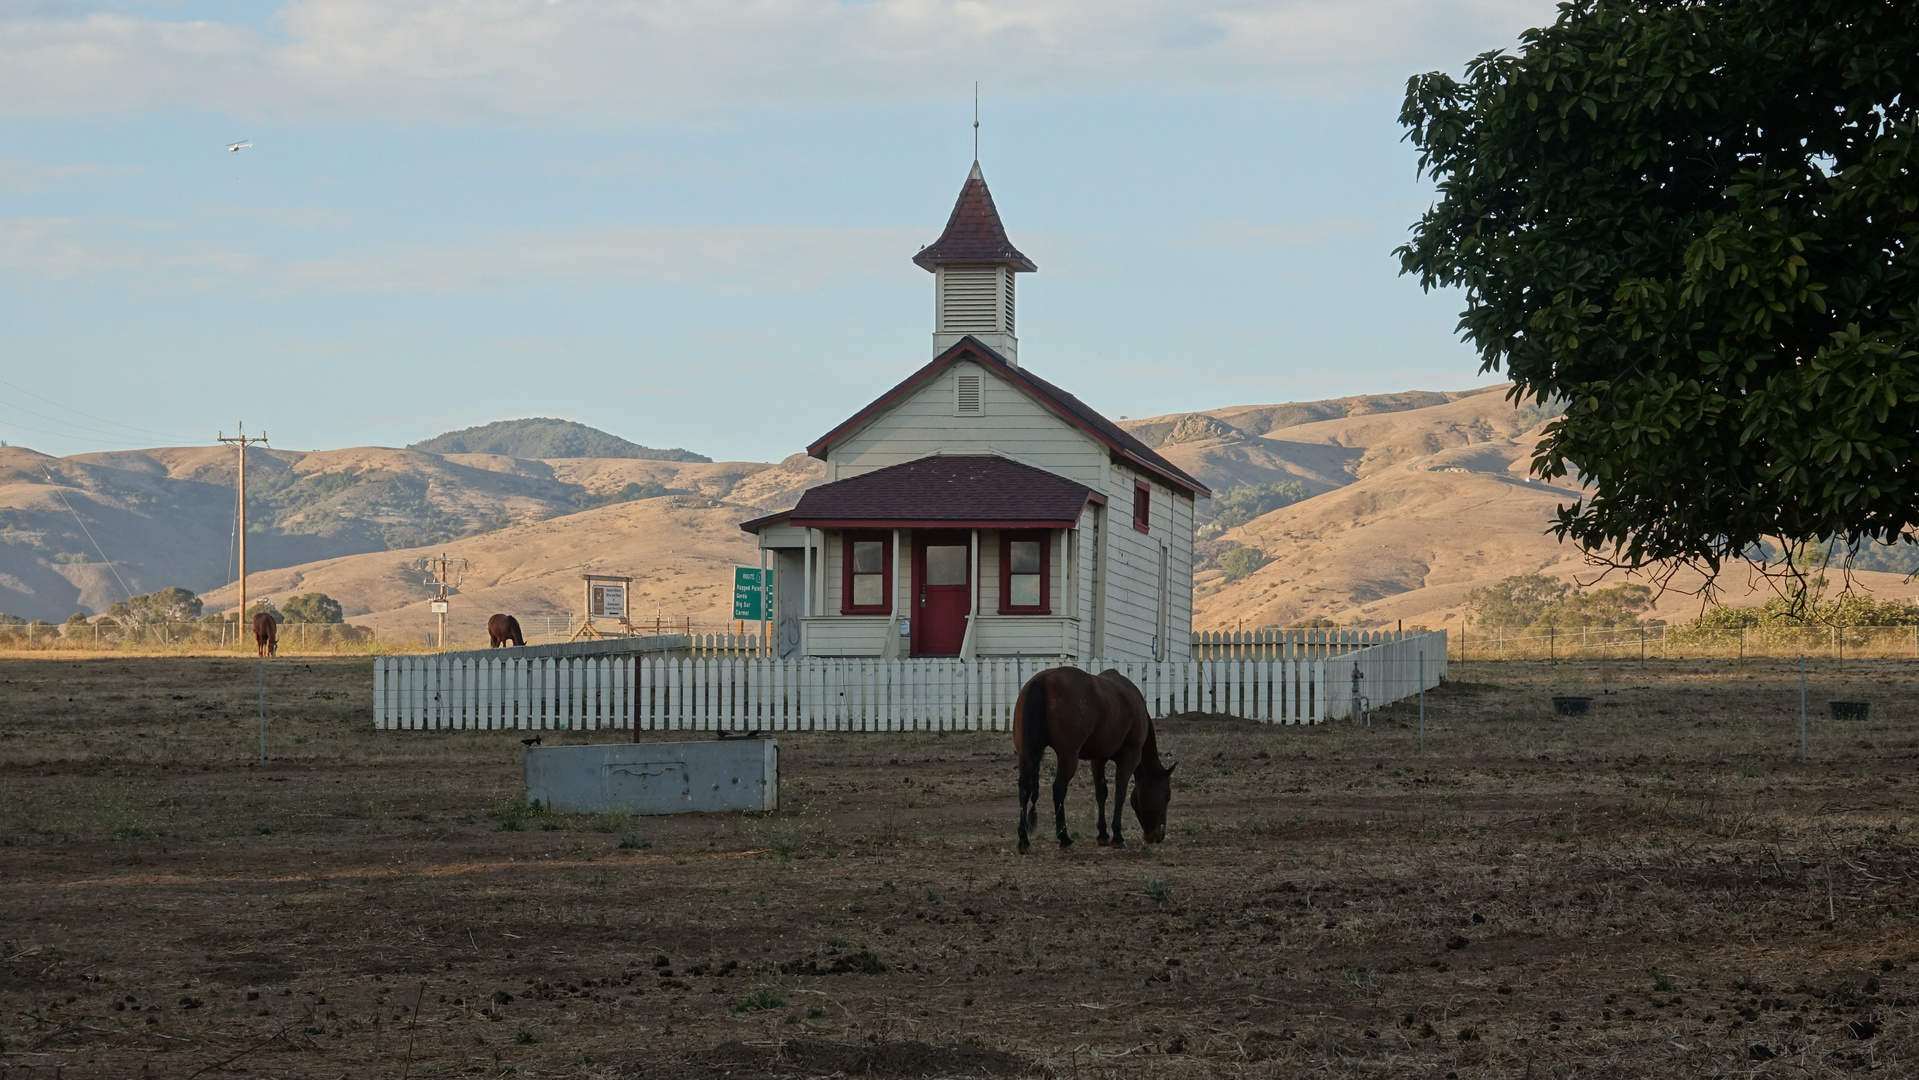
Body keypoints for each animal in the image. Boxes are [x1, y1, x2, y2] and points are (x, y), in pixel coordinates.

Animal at [1013, 667, 1174, 855]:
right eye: (1167, 796)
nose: (1159, 836)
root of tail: (1043, 679)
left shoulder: (1098, 759)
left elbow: (1101, 793)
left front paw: (1103, 834)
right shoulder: (1130, 756)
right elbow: (1120, 794)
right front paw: (1117, 836)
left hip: (1025, 754)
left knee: (1024, 789)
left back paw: (1024, 840)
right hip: (1068, 756)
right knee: (1058, 789)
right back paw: (1064, 837)